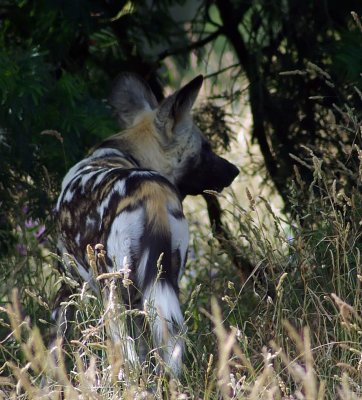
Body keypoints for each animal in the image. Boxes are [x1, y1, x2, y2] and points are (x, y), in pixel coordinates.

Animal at [55, 73, 239, 376]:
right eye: (206, 148)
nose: (234, 170)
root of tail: (151, 191)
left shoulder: (67, 286)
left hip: (113, 295)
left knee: (127, 355)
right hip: (162, 285)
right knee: (167, 348)